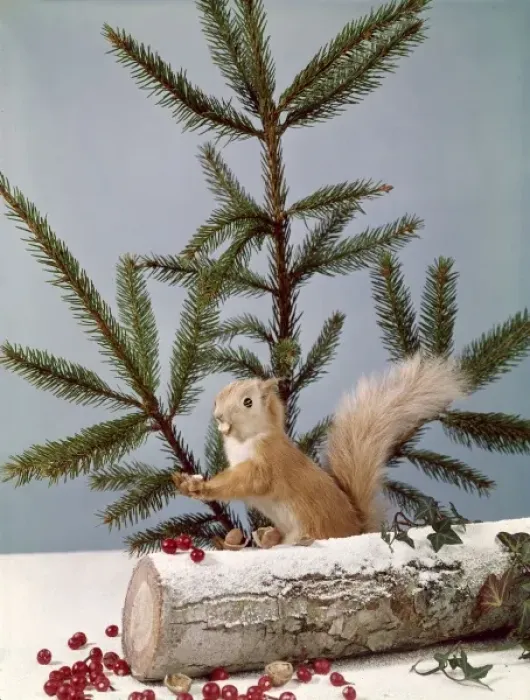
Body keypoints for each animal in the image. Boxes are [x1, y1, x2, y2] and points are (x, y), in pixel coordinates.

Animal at [176, 353, 468, 544]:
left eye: (248, 402)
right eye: (218, 398)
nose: (219, 417)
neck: (245, 438)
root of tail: (357, 530)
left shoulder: (268, 462)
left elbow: (248, 482)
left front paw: (202, 487)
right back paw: (267, 535)